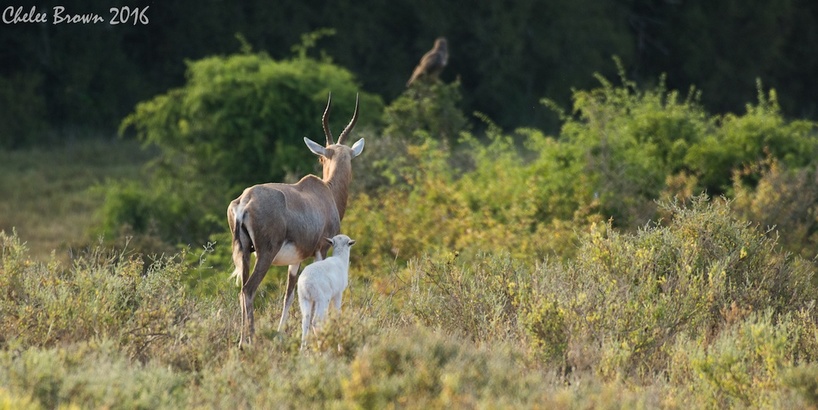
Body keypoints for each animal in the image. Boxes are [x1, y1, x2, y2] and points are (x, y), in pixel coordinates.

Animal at [225, 93, 362, 350]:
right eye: (321, 159)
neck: (324, 192)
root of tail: (245, 200)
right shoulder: (321, 250)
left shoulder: (296, 260)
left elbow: (288, 296)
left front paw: (280, 334)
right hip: (265, 255)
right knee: (248, 290)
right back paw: (252, 340)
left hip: (245, 253)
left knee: (241, 290)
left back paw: (241, 342)